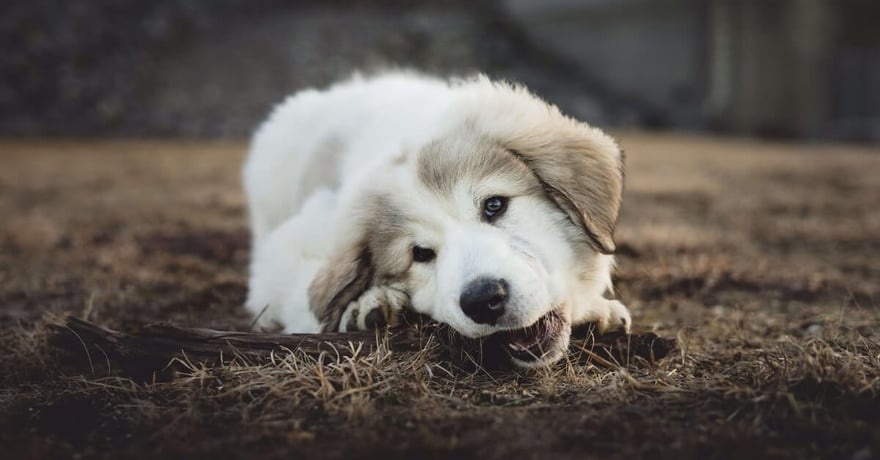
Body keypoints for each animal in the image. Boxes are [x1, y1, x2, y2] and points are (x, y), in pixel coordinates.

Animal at [246, 72, 632, 366]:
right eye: (420, 254)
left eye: (494, 205)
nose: (483, 300)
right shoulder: (291, 245)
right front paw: (365, 306)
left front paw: (598, 310)